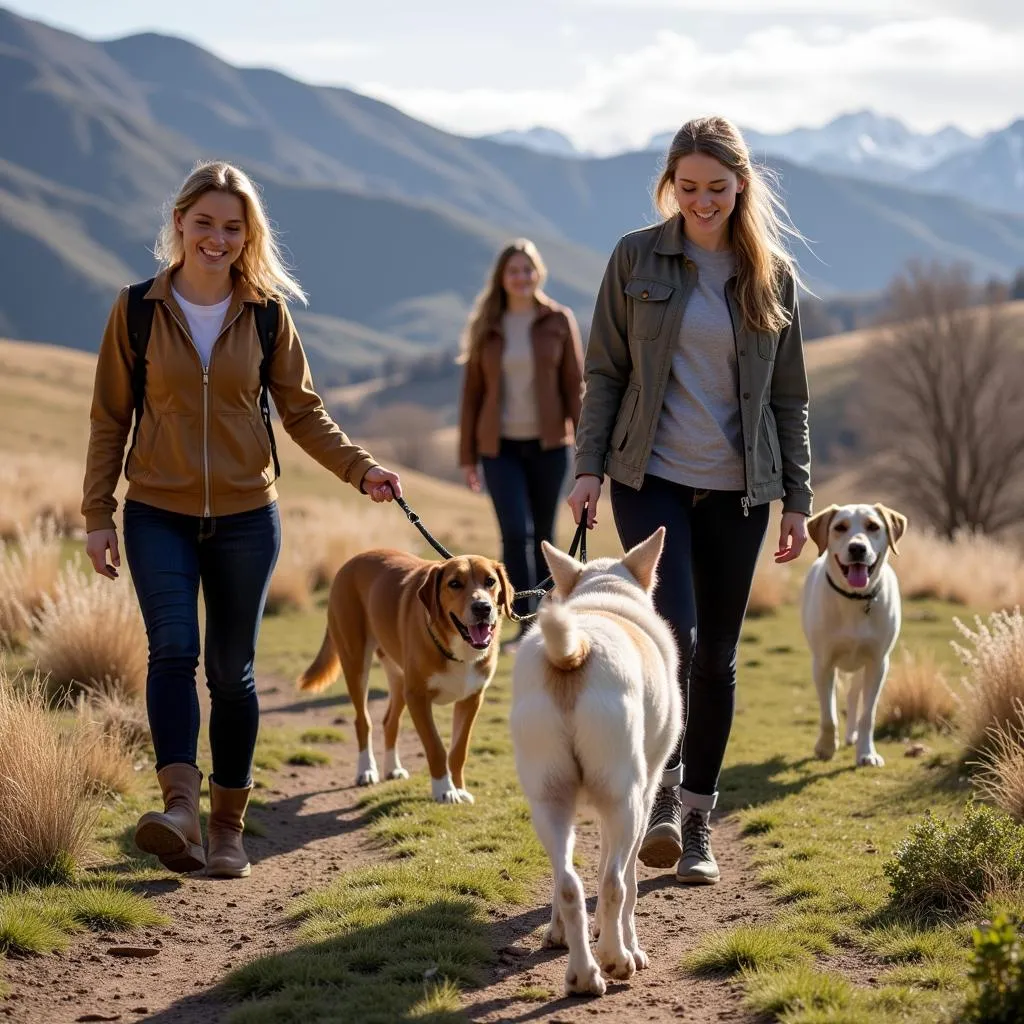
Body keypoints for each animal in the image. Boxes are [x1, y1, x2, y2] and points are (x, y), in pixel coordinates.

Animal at [299, 548, 516, 802]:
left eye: (490, 581)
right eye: (454, 583)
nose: (482, 607)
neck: (458, 649)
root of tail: (354, 559)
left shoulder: (471, 699)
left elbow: (459, 750)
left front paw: (459, 789)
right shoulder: (418, 697)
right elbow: (435, 747)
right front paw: (444, 790)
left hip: (399, 678)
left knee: (389, 721)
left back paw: (392, 768)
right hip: (356, 663)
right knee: (363, 721)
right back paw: (366, 770)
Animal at [509, 532, 679, 995]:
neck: (604, 595)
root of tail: (575, 650)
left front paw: (557, 935)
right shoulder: (644, 792)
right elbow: (627, 883)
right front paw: (626, 944)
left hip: (548, 803)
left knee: (567, 883)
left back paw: (582, 974)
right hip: (626, 802)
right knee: (613, 882)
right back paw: (617, 960)